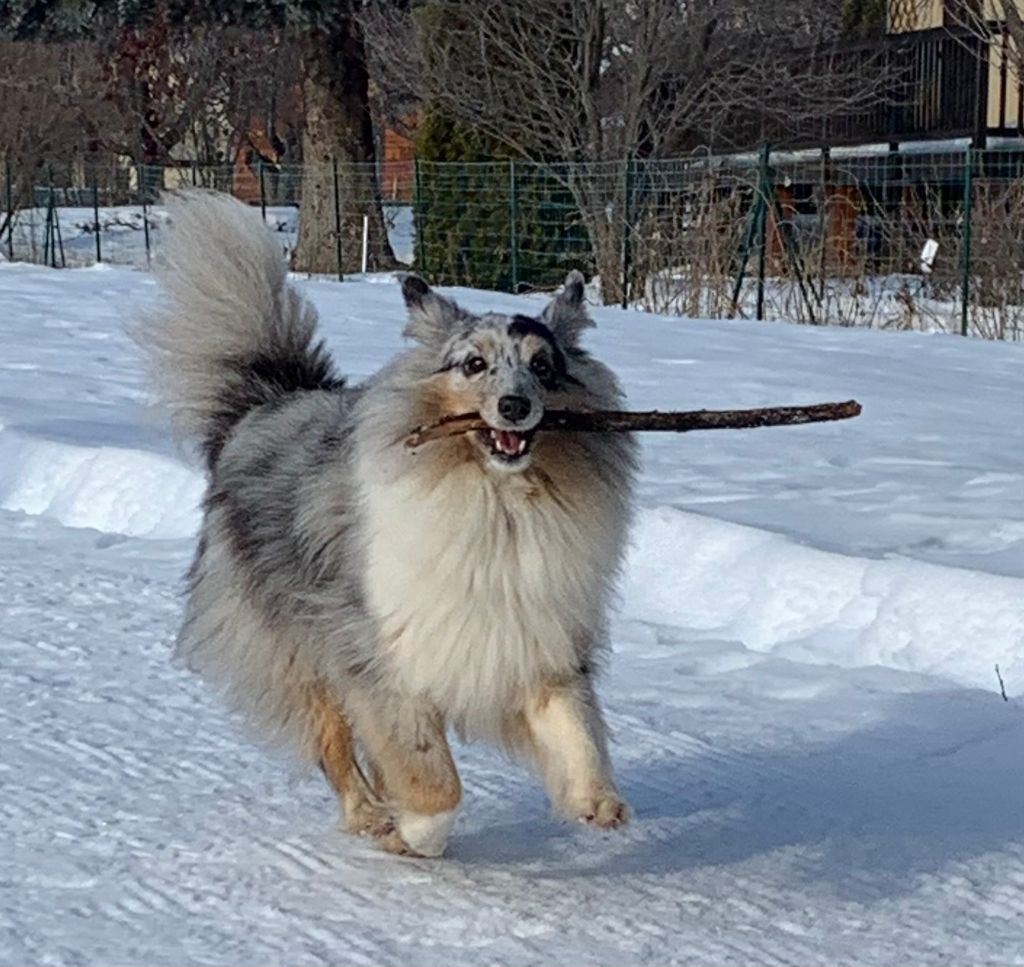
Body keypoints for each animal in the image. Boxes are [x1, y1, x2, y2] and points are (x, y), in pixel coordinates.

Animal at [136, 192, 630, 856]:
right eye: (474, 364)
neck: (495, 502)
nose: (516, 406)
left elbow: (578, 726)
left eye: (545, 367)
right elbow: (433, 779)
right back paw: (372, 815)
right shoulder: (381, 657)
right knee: (334, 747)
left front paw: (596, 801)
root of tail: (268, 402)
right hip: (298, 650)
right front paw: (415, 833)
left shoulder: (537, 638)